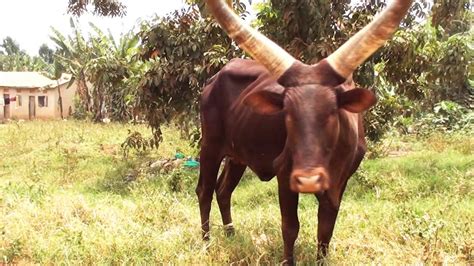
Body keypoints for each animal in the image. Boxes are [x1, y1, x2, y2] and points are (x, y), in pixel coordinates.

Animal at [195, 0, 412, 262]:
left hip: (238, 155)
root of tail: (213, 79)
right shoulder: (285, 173)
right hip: (210, 145)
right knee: (204, 191)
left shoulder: (339, 184)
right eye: (287, 113)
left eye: (332, 111)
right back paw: (206, 244)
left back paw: (231, 235)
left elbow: (325, 230)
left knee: (223, 190)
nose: (309, 180)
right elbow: (290, 228)